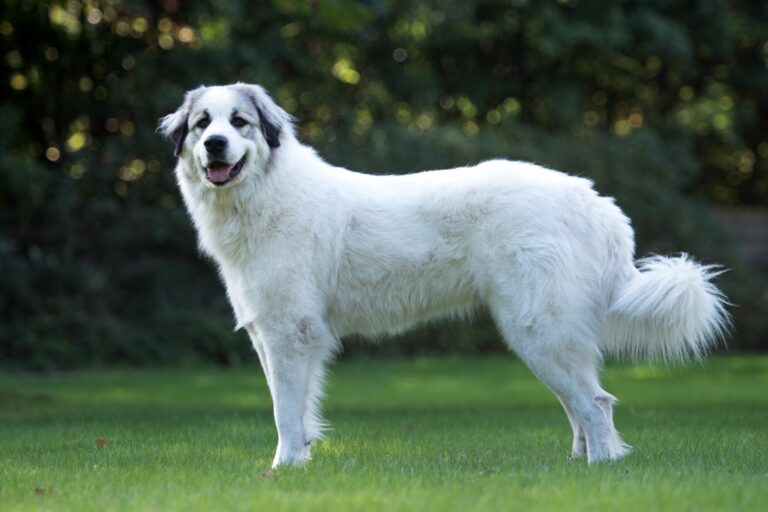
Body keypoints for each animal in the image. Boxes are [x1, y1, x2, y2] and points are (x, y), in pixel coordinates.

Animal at [160, 81, 728, 468]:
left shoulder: (291, 334)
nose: (214, 145)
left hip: (537, 330)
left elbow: (284, 411)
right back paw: (577, 464)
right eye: (202, 124)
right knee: (580, 405)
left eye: (239, 122)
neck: (264, 194)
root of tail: (594, 201)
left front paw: (282, 471)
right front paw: (298, 464)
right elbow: (294, 412)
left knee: (595, 403)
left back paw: (601, 468)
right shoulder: (271, 335)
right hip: (547, 337)